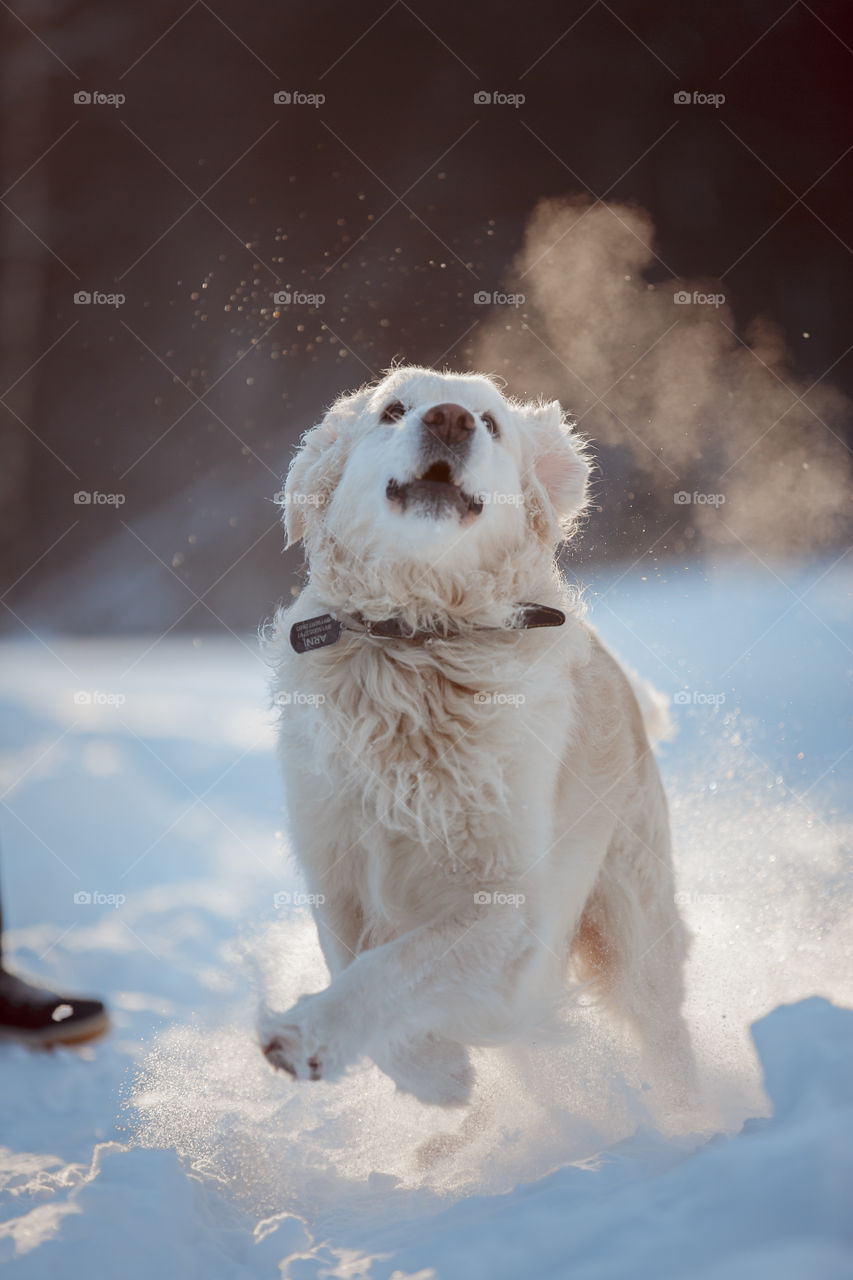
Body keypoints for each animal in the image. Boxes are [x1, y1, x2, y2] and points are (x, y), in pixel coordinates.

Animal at [258, 366, 691, 1105]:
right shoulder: (333, 873)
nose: (450, 420)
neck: (418, 639)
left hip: (634, 927)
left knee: (667, 1041)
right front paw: (439, 1074)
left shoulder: (509, 911)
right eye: (393, 409)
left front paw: (309, 1036)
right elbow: (354, 960)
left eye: (489, 423)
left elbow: (393, 965)